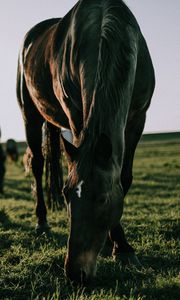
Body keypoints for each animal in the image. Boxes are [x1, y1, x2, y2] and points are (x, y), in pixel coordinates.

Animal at [16, 0, 155, 284]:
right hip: (30, 116)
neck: (103, 26)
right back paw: (42, 222)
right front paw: (119, 246)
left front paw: (120, 247)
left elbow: (124, 178)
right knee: (37, 165)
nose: (75, 273)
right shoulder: (76, 114)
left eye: (101, 199)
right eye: (67, 195)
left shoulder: (138, 119)